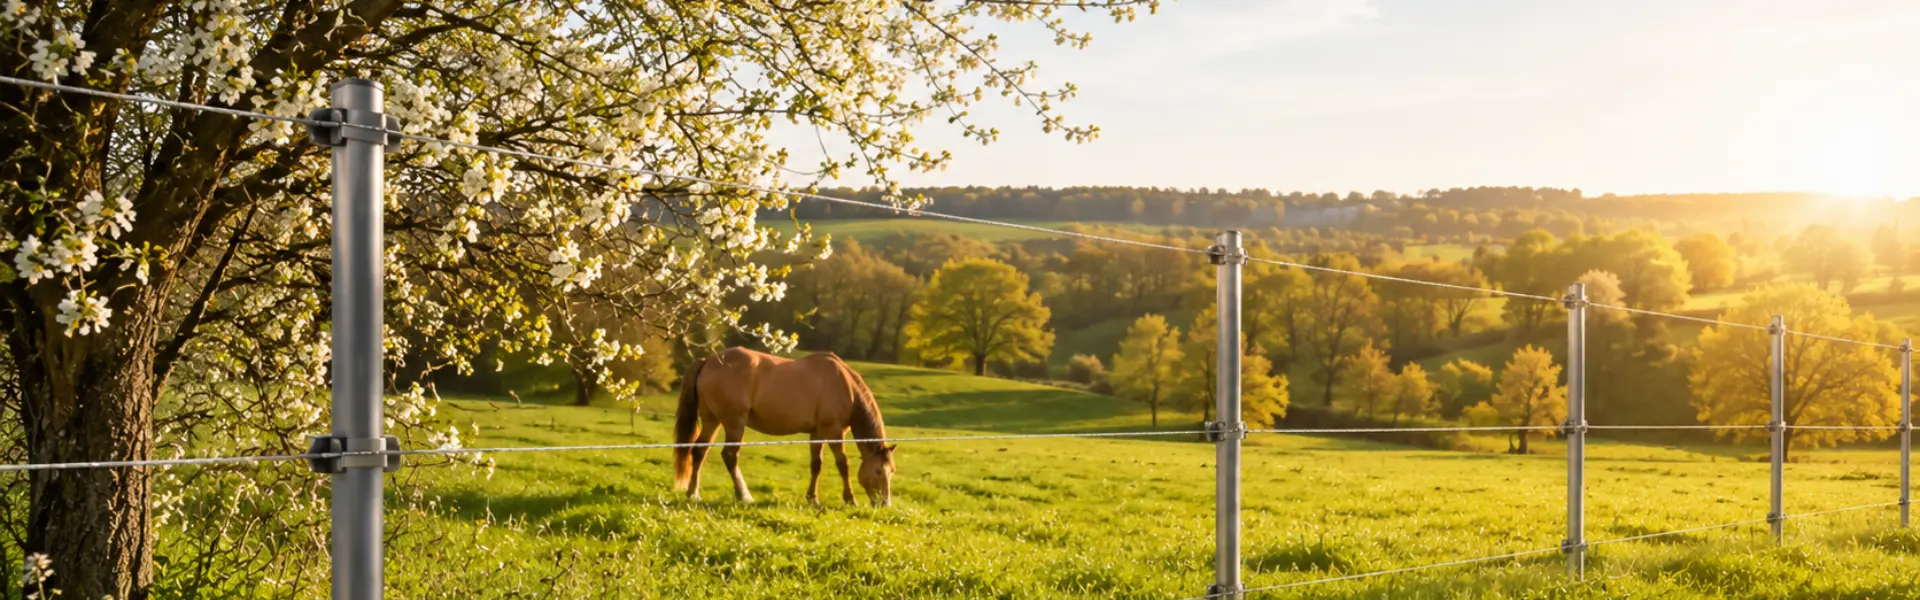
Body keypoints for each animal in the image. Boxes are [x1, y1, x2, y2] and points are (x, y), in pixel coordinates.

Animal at [671, 347, 896, 506]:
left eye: (891, 471)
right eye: (878, 471)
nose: (884, 504)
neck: (845, 386)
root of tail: (708, 361)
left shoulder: (816, 433)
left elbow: (816, 465)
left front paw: (812, 498)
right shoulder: (833, 431)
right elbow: (843, 464)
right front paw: (850, 499)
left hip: (712, 421)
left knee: (699, 451)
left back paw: (693, 493)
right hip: (734, 423)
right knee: (730, 456)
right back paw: (744, 495)